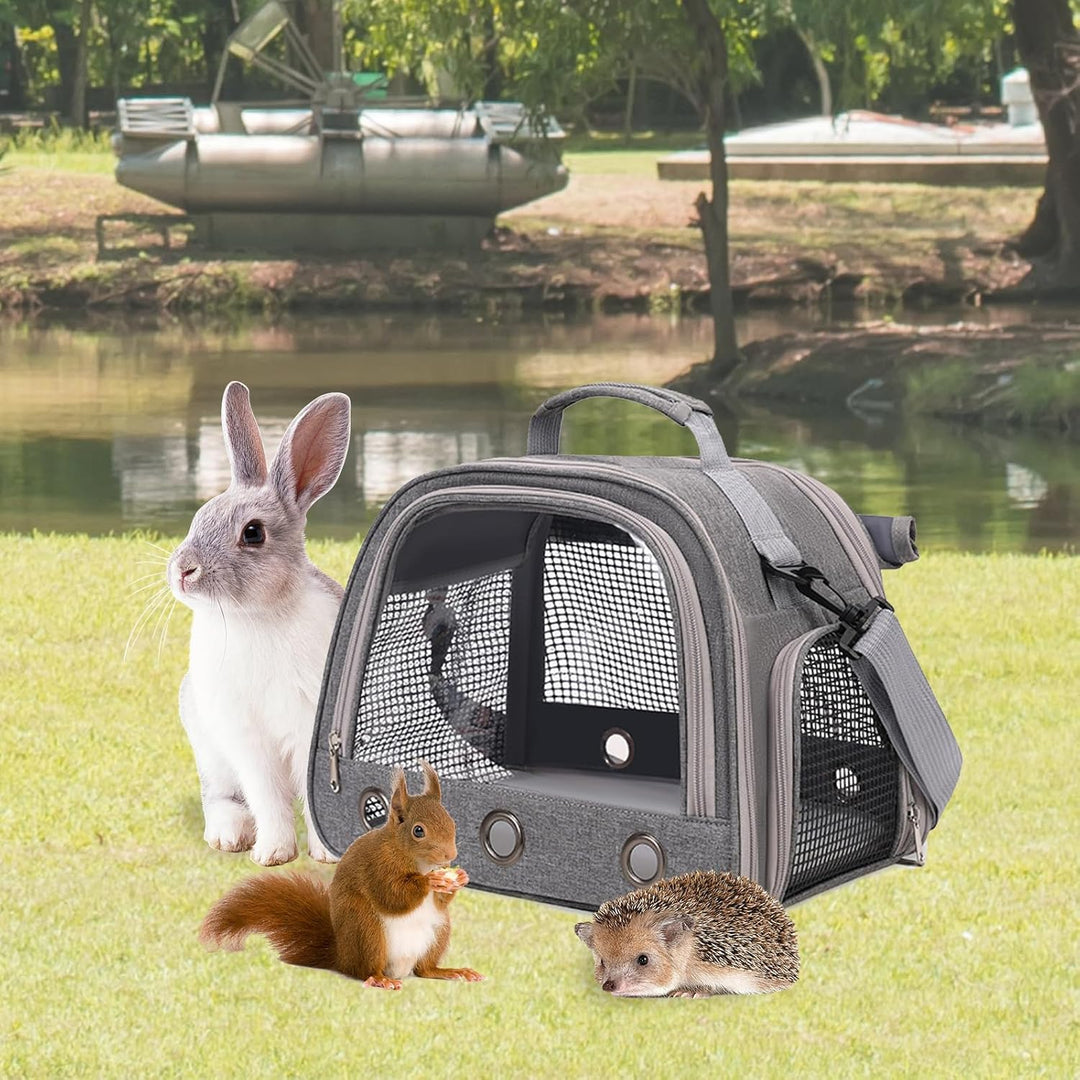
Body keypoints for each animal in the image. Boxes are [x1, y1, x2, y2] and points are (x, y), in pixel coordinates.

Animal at [167, 381, 351, 866]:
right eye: (198, 517)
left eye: (253, 533)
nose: (182, 571)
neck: (257, 616)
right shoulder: (245, 737)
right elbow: (266, 795)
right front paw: (272, 854)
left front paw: (325, 856)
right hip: (208, 747)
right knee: (221, 796)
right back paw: (229, 835)